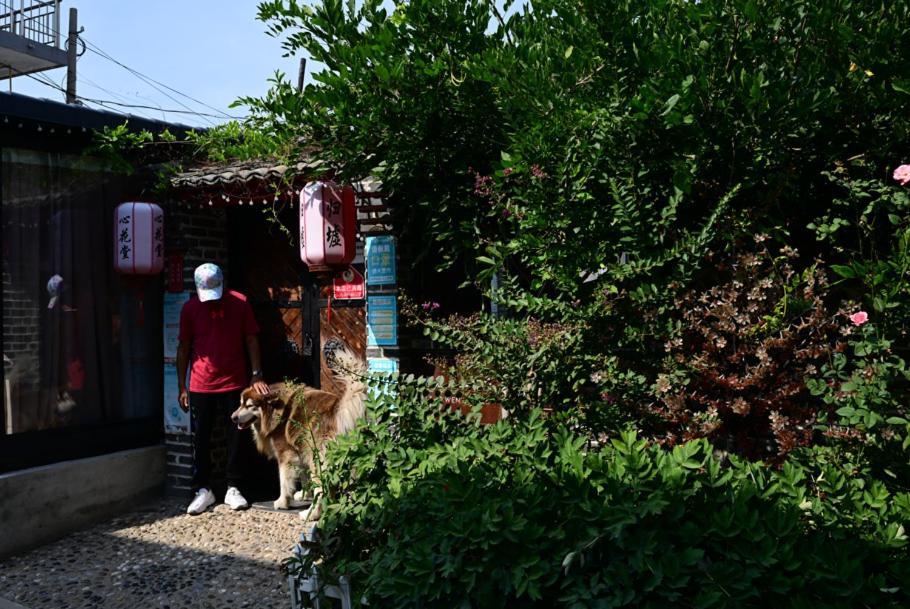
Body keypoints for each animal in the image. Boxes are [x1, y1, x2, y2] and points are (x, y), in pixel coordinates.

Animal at [232, 350, 366, 520]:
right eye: (240, 404)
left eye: (249, 406)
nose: (233, 417)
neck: (275, 410)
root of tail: (337, 409)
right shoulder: (300, 451)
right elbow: (304, 477)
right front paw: (304, 495)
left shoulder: (286, 455)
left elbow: (284, 482)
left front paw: (282, 502)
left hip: (318, 460)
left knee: (322, 490)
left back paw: (311, 514)